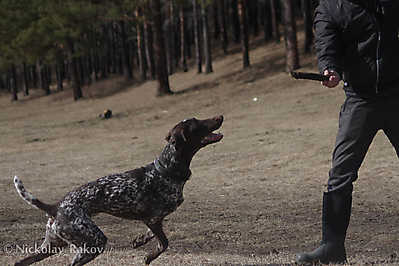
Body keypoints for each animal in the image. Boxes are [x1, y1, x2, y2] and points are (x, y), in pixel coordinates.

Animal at [13, 116, 225, 266]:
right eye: (197, 123)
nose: (220, 116)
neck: (166, 170)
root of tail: (56, 207)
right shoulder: (153, 219)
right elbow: (163, 243)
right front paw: (149, 256)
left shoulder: (153, 220)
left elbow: (151, 235)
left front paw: (139, 241)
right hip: (93, 242)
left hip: (53, 245)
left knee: (20, 262)